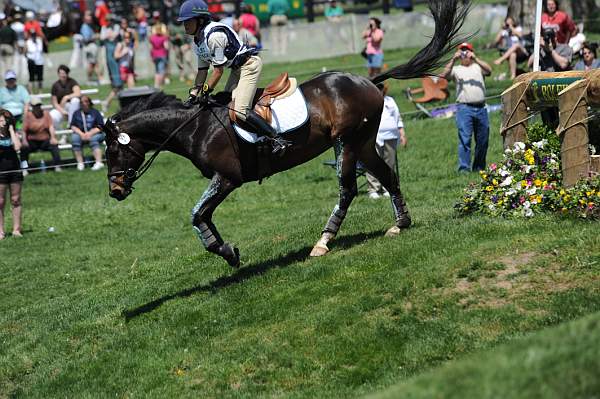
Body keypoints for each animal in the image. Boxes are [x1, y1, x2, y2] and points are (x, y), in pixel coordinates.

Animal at [103, 0, 468, 268]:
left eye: (112, 152)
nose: (115, 191)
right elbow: (199, 217)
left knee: (347, 189)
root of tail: (367, 80)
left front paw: (227, 253)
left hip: (346, 141)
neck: (195, 127)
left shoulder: (228, 177)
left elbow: (198, 213)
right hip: (364, 142)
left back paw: (323, 242)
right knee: (388, 175)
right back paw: (400, 223)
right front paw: (228, 253)